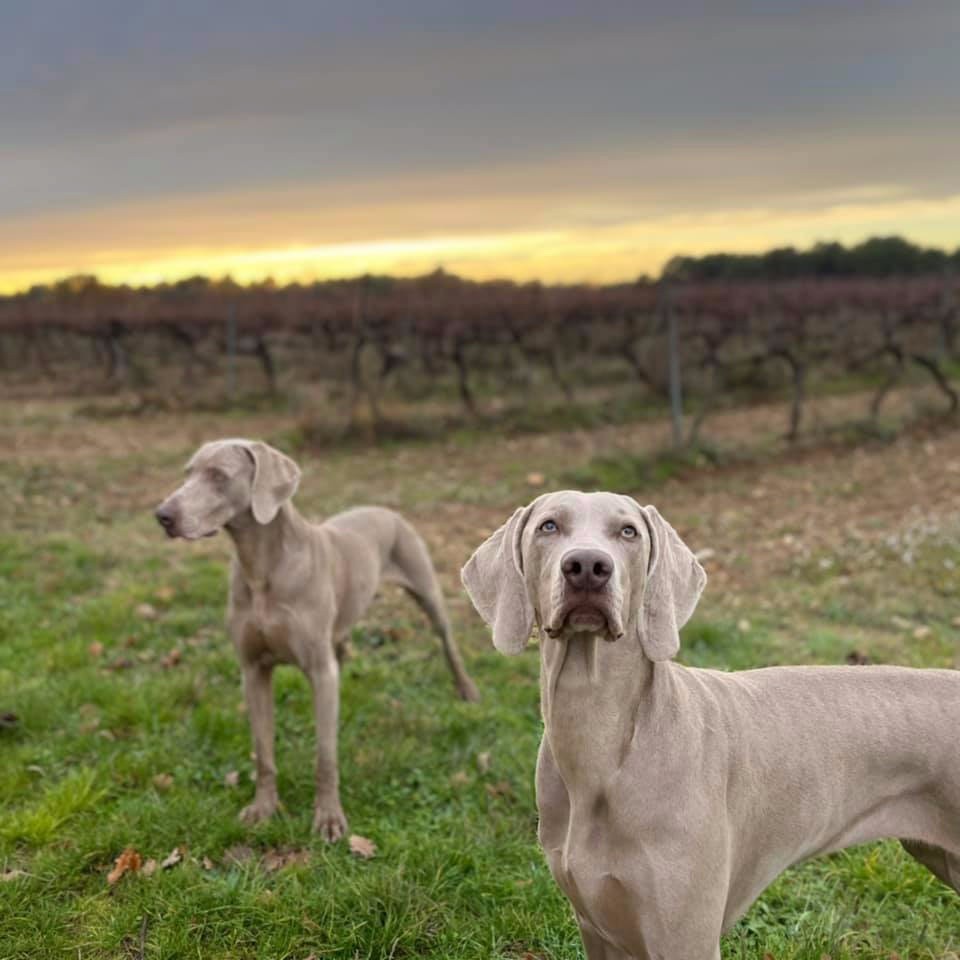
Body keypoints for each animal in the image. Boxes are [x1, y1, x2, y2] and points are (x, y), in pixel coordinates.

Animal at [155, 438, 480, 836]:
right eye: (187, 473)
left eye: (219, 475)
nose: (162, 515)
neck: (261, 567)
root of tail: (385, 509)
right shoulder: (253, 669)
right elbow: (263, 751)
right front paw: (263, 808)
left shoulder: (318, 669)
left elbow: (325, 755)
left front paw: (328, 818)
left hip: (426, 589)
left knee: (447, 641)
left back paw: (466, 690)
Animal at [462, 492, 956, 960]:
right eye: (548, 526)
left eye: (628, 531)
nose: (587, 567)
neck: (602, 745)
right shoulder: (597, 928)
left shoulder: (685, 937)